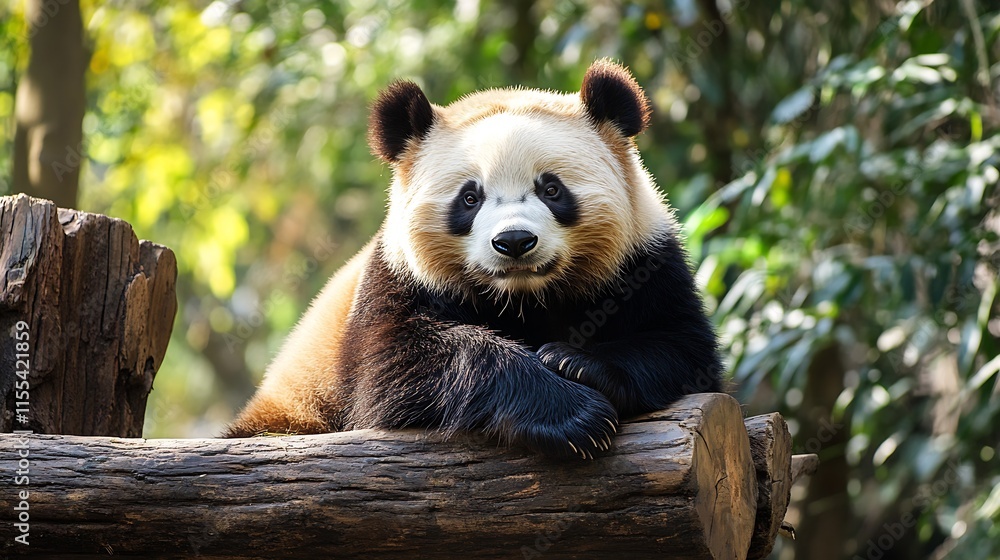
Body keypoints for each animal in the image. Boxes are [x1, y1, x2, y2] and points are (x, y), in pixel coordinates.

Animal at [226, 59, 723, 459]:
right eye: (470, 198)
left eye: (552, 189)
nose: (515, 241)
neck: (524, 296)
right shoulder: (396, 280)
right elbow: (399, 367)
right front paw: (574, 416)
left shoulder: (643, 262)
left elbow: (683, 348)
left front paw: (575, 363)